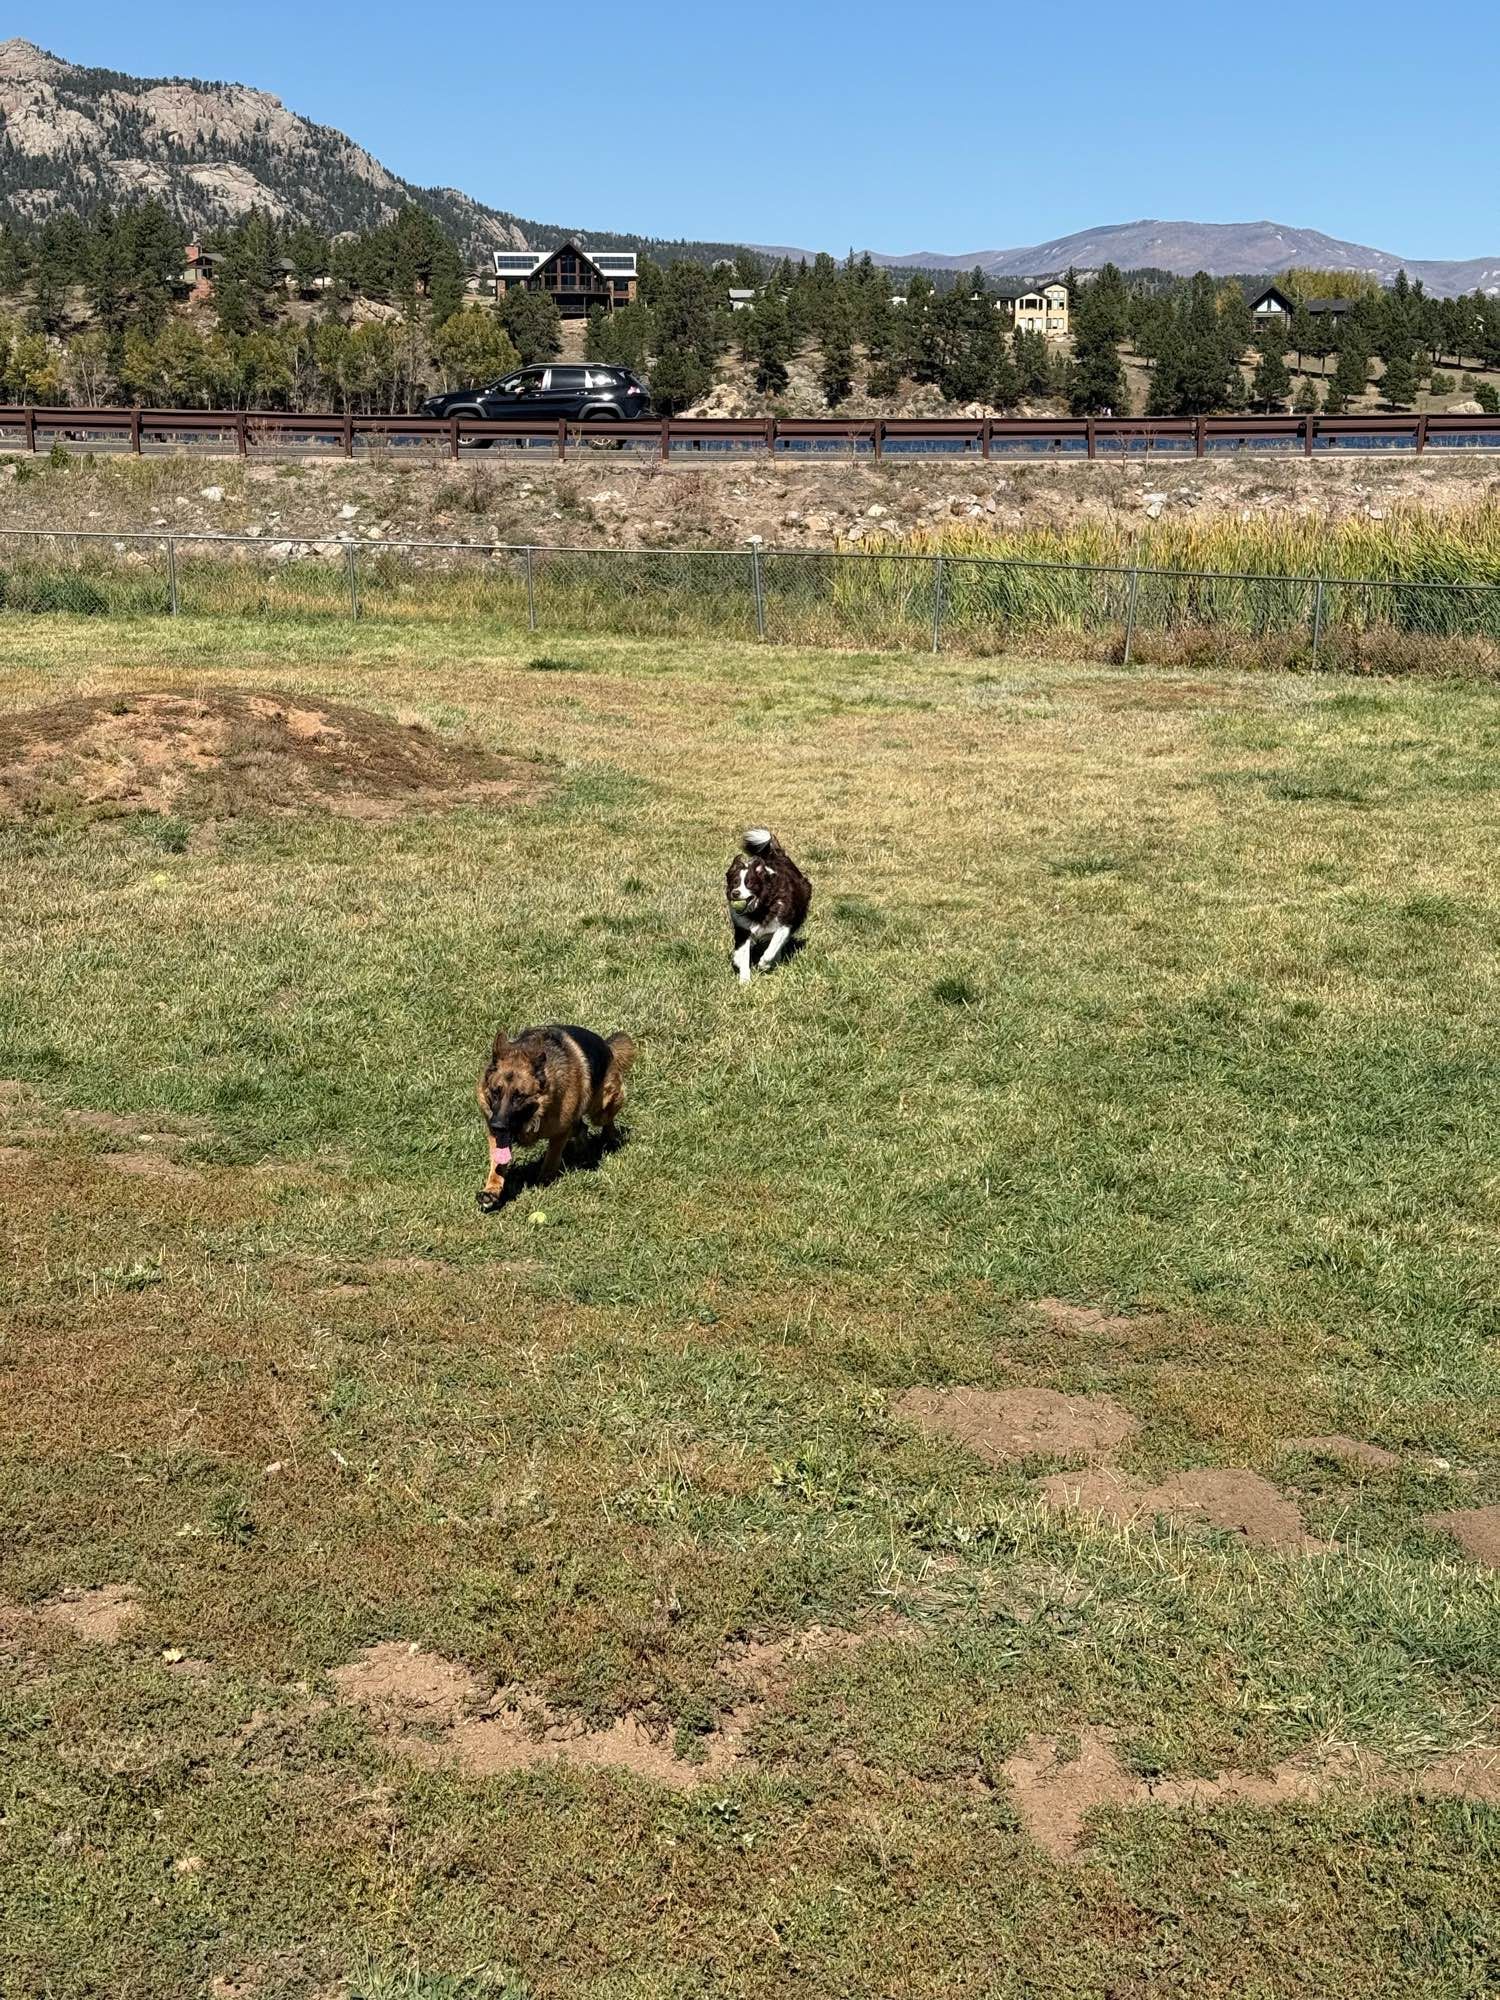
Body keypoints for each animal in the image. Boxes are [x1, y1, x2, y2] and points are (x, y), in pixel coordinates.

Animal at [472, 1024, 632, 1208]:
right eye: (495, 1092)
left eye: (519, 1096)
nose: (497, 1126)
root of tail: (606, 1045)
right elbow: (497, 1163)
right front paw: (492, 1190)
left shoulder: (560, 1132)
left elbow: (551, 1158)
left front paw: (544, 1182)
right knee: (582, 1128)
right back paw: (582, 1151)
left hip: (601, 1108)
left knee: (606, 1120)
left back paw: (610, 1139)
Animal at [724, 828, 812, 984]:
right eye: (734, 883)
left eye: (749, 883)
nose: (735, 893)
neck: (760, 908)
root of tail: (778, 854)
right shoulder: (743, 929)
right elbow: (743, 954)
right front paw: (744, 979)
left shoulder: (784, 924)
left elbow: (773, 946)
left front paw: (764, 964)